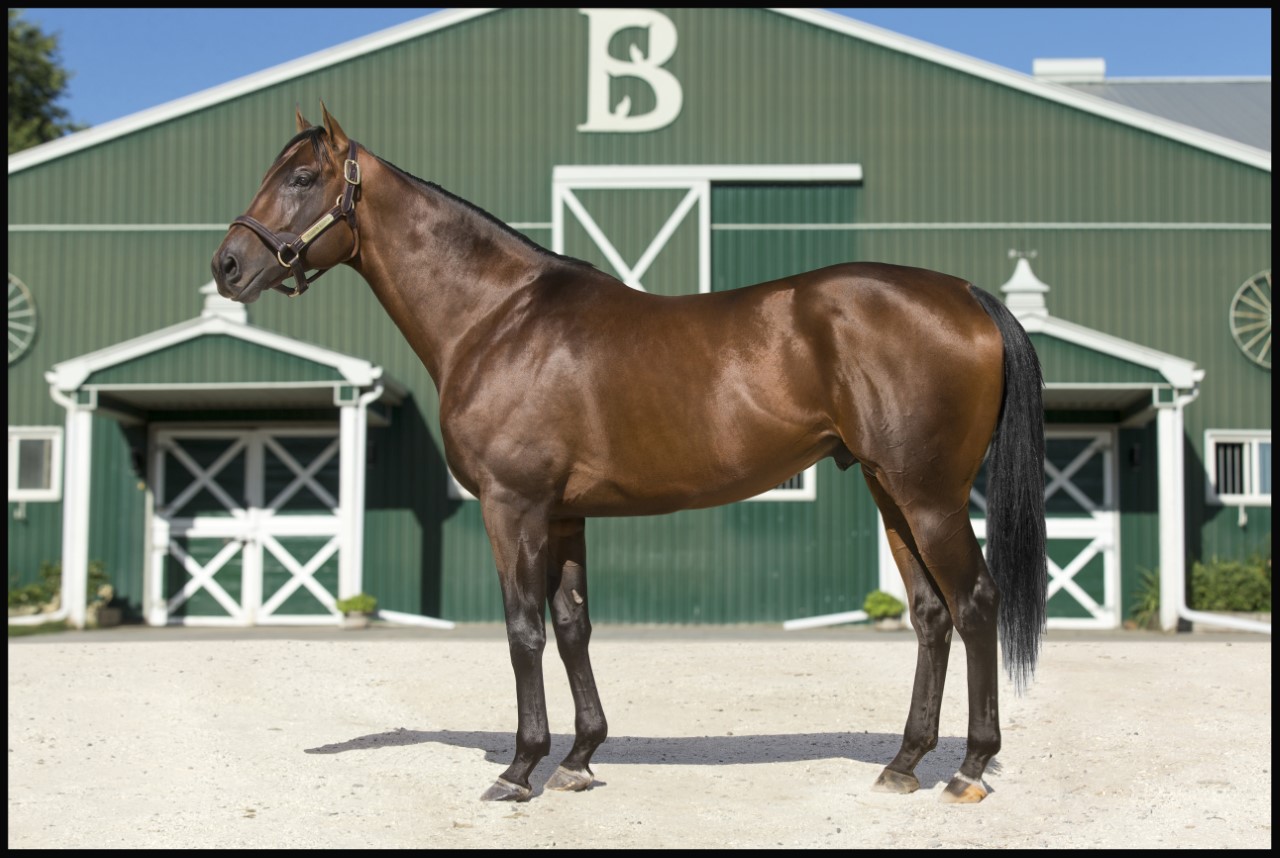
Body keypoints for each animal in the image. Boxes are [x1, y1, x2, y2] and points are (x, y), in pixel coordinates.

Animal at [212, 107, 1049, 809]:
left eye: (301, 177)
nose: (226, 266)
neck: (496, 318)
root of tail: (967, 295)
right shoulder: (564, 515)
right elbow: (573, 625)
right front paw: (580, 758)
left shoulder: (513, 506)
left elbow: (523, 629)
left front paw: (521, 769)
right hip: (890, 491)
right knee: (931, 614)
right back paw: (904, 764)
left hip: (930, 496)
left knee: (975, 604)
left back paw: (969, 768)